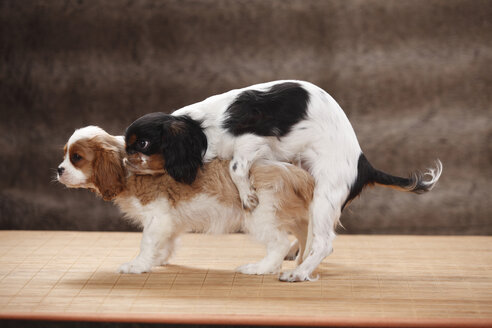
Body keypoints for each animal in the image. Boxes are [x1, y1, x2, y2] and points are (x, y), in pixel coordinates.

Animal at [55, 127, 314, 278]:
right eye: (65, 154)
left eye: (76, 158)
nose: (59, 170)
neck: (127, 168)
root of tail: (294, 172)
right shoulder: (169, 219)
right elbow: (166, 241)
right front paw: (158, 259)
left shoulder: (156, 217)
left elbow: (146, 243)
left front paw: (138, 265)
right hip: (293, 216)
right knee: (303, 237)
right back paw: (300, 262)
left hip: (260, 217)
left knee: (280, 243)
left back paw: (260, 268)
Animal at [123, 80, 442, 282]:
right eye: (127, 144)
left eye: (144, 144)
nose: (126, 159)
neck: (201, 127)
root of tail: (364, 165)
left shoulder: (252, 140)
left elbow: (236, 167)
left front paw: (248, 196)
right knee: (309, 236)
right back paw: (295, 255)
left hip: (325, 195)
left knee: (324, 243)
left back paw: (299, 273)